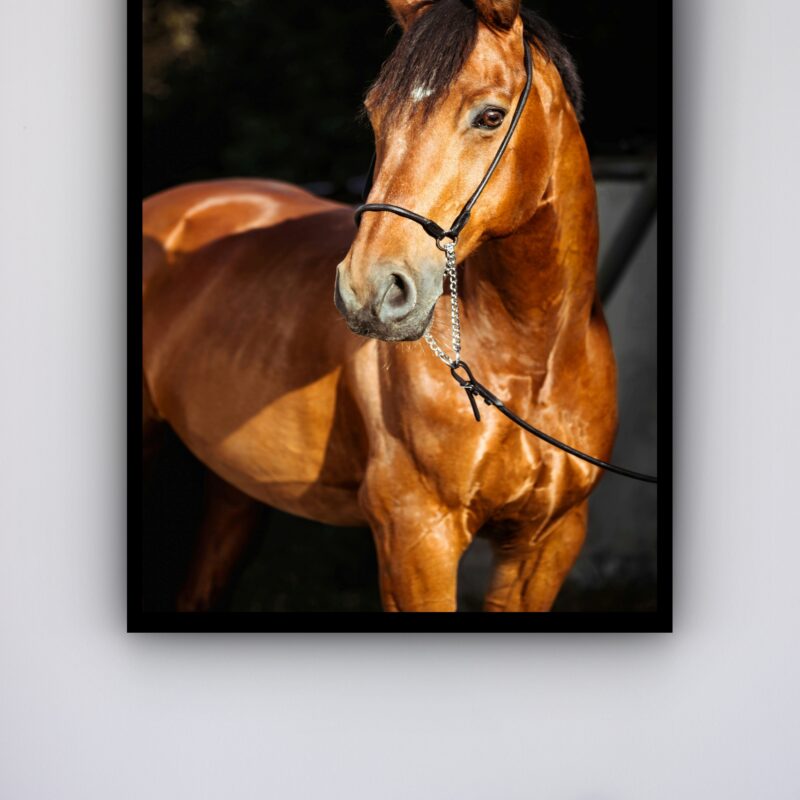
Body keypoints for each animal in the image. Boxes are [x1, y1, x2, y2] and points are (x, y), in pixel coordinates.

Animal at [141, 0, 617, 612]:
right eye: (375, 115)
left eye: (490, 116)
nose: (367, 291)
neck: (529, 360)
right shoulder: (416, 536)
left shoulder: (547, 542)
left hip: (234, 486)